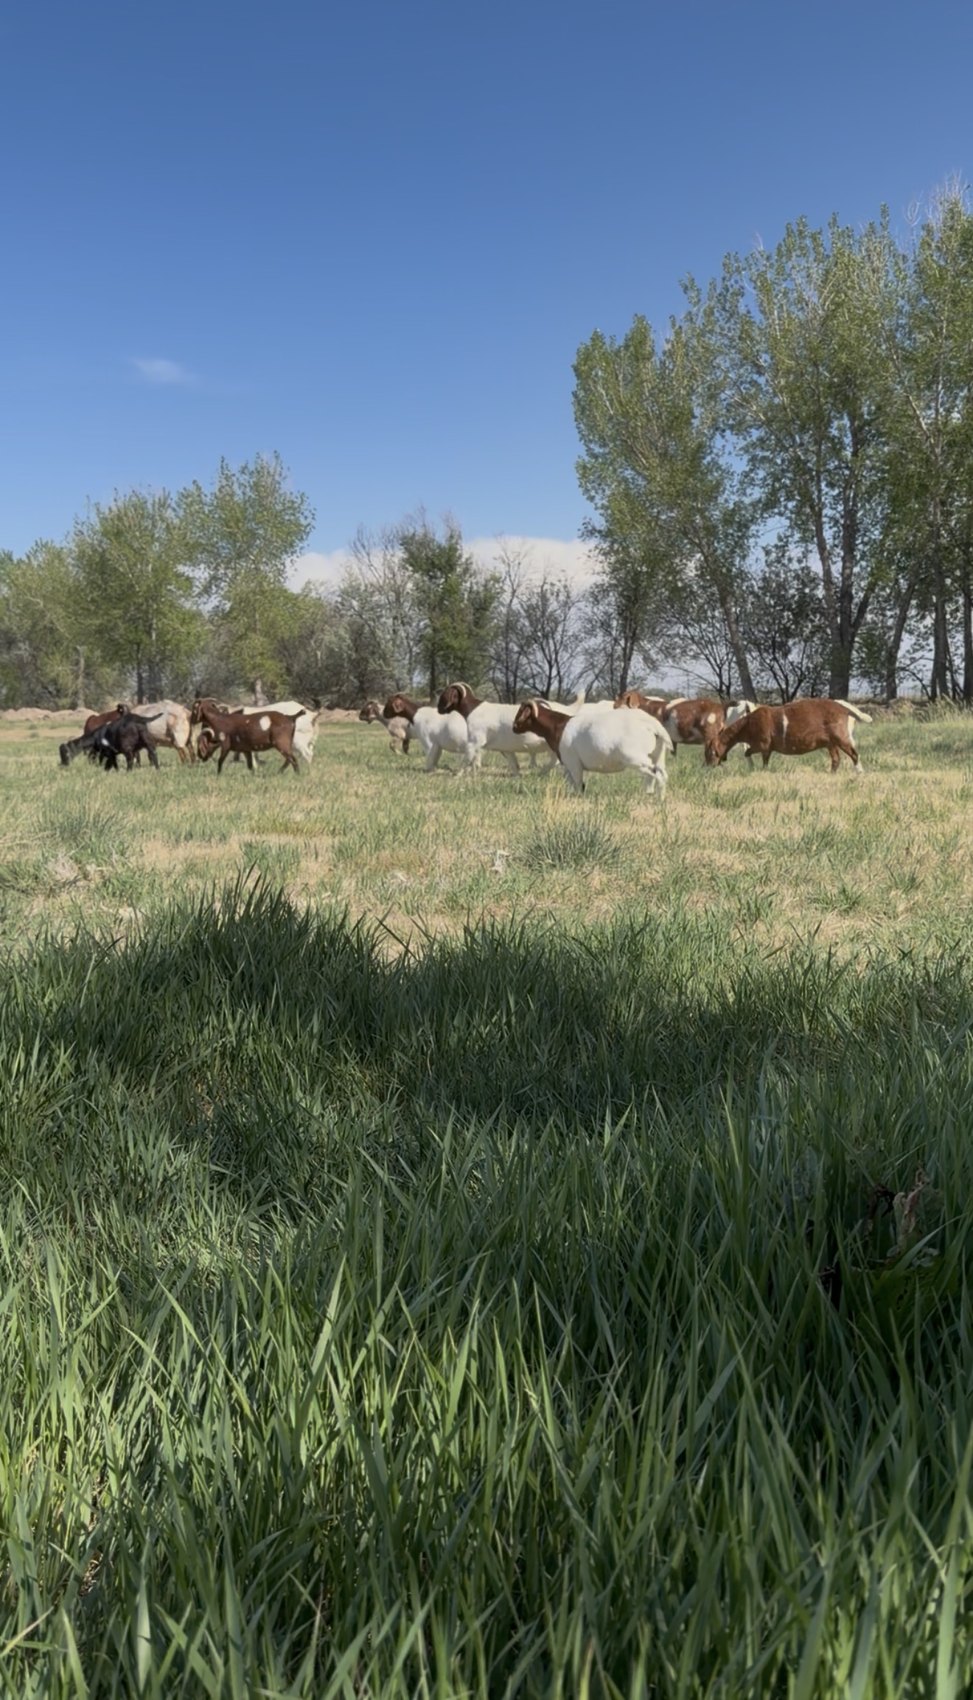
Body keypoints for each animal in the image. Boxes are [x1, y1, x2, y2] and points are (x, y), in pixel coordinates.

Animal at [513, 698, 672, 796]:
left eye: (521, 712)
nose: (514, 727)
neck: (559, 726)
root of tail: (650, 723)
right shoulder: (568, 765)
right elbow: (570, 782)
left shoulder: (574, 763)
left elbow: (578, 784)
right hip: (657, 754)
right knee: (660, 773)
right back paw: (651, 794)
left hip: (635, 758)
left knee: (656, 773)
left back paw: (659, 799)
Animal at [707, 698, 873, 772]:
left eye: (710, 753)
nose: (708, 767)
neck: (748, 723)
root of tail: (844, 708)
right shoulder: (764, 747)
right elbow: (757, 756)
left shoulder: (763, 744)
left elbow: (752, 755)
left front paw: (757, 769)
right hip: (830, 742)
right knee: (836, 759)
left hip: (841, 737)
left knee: (854, 754)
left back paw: (859, 773)